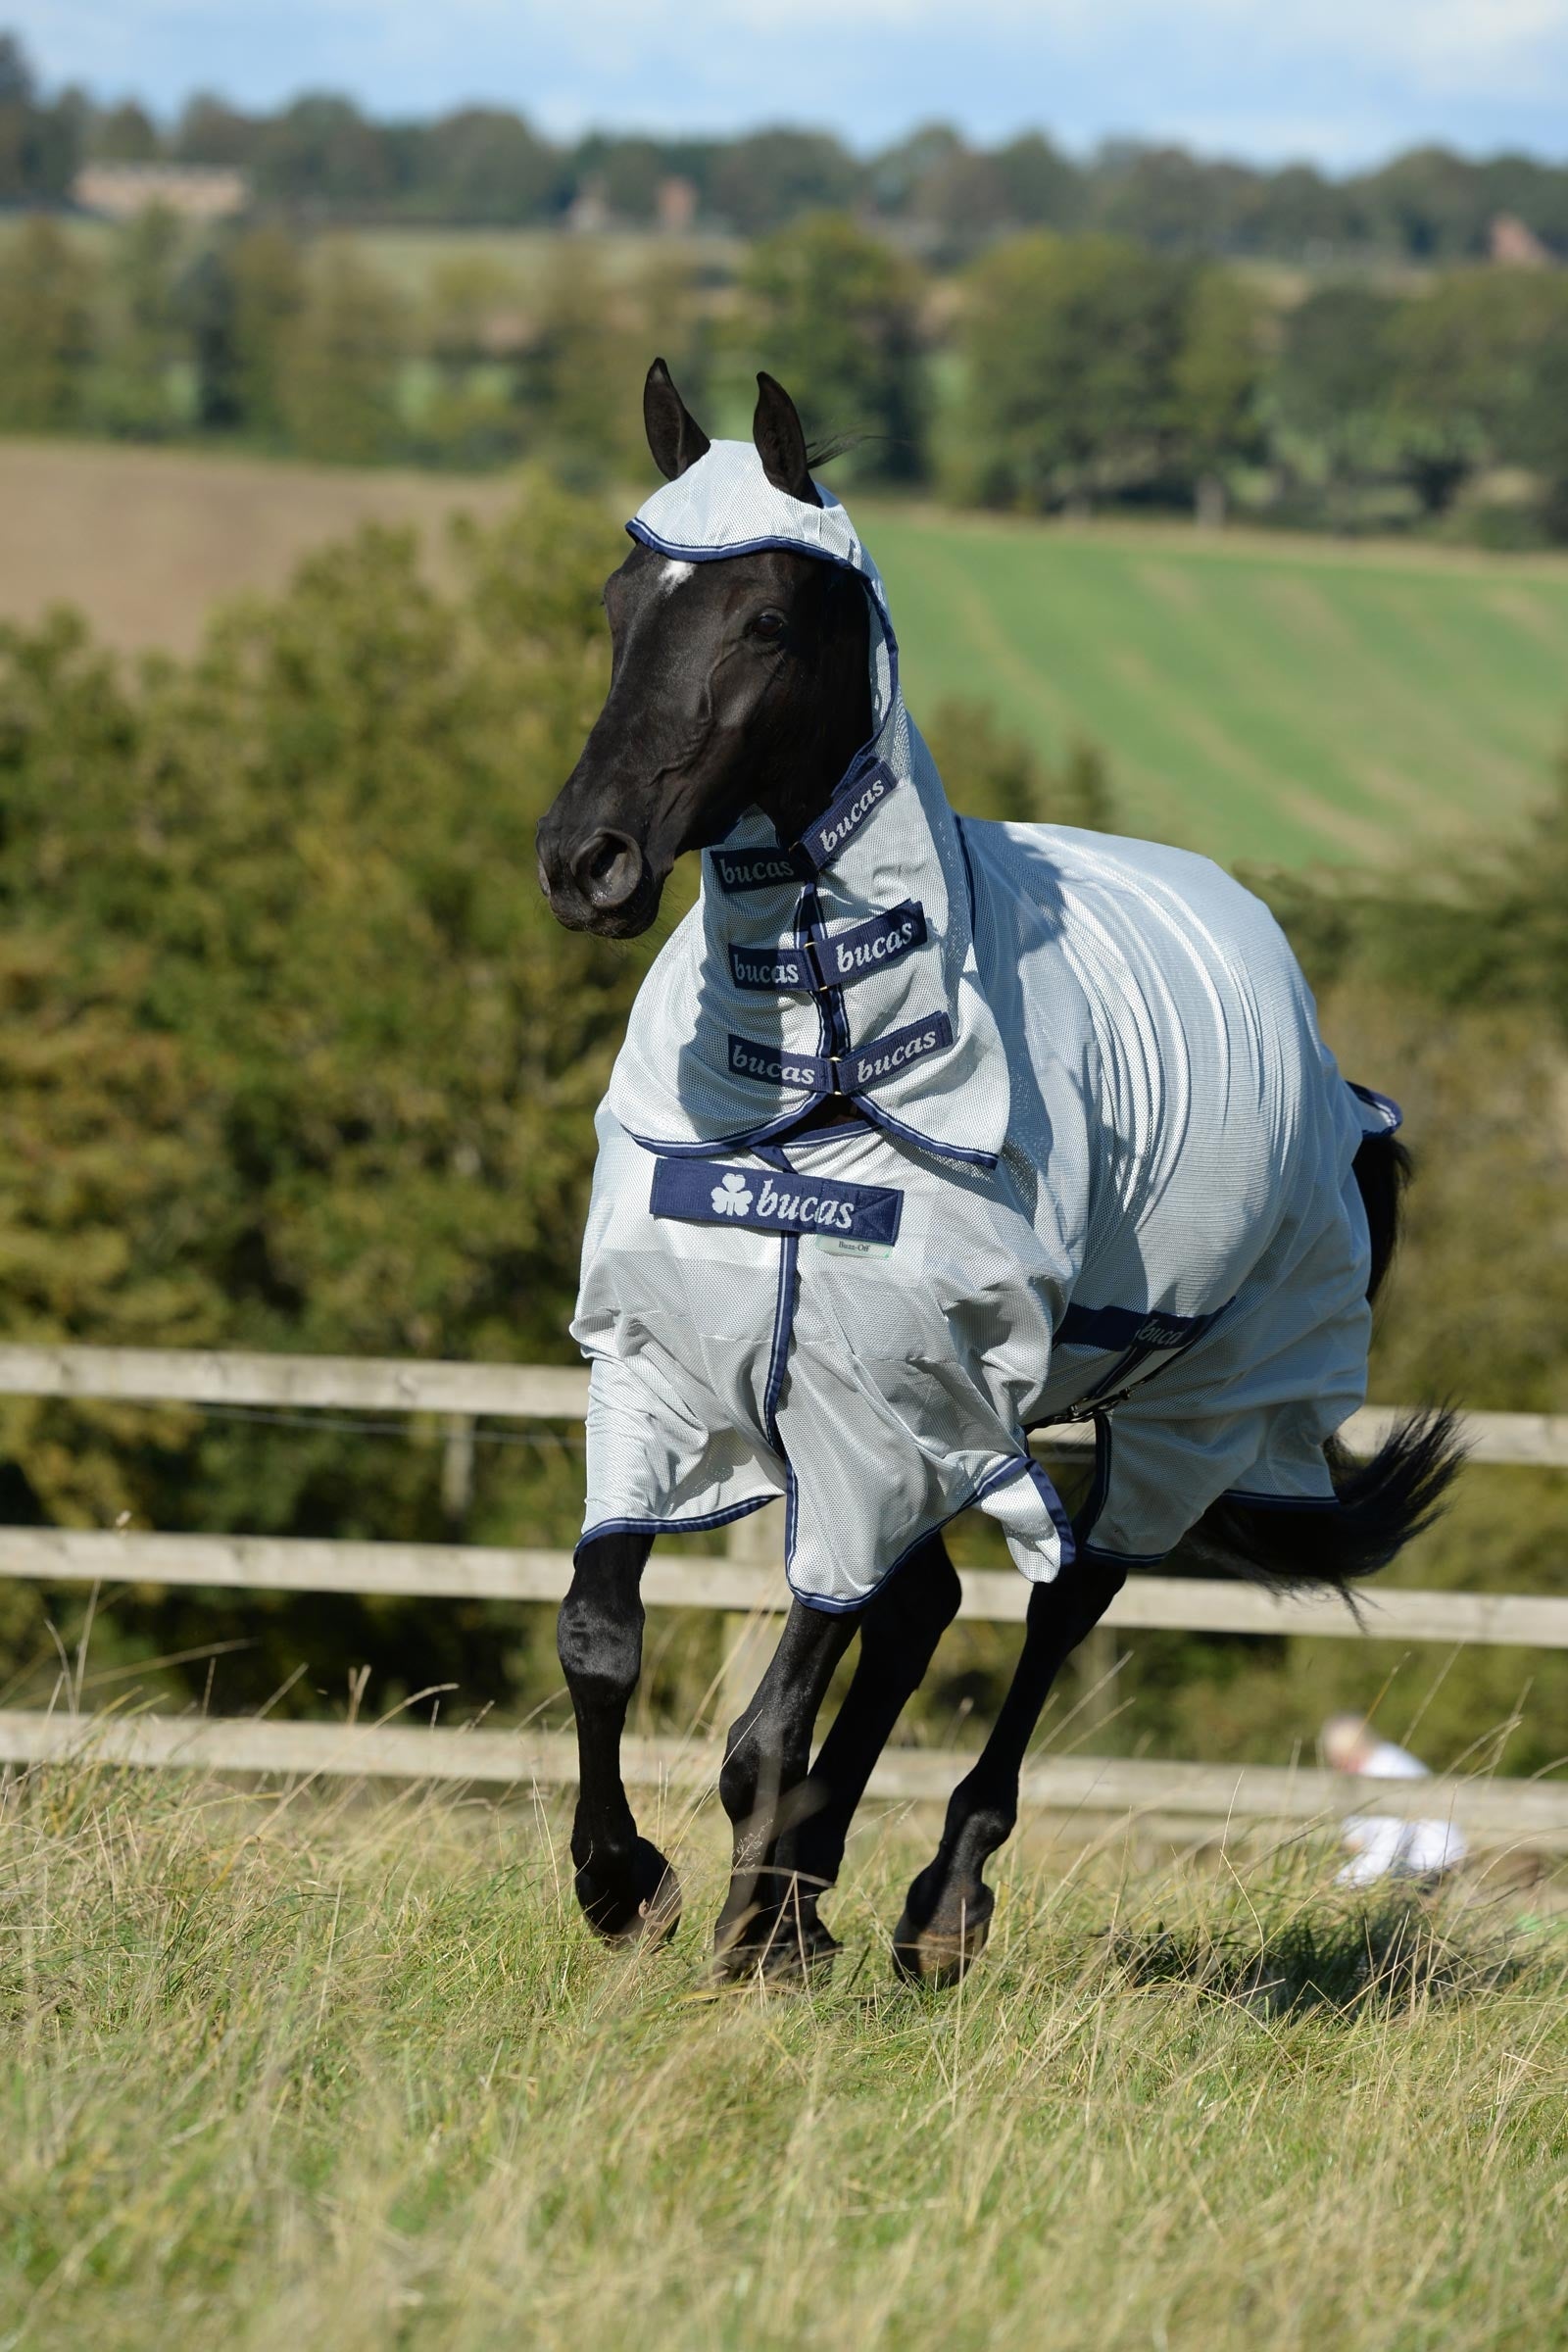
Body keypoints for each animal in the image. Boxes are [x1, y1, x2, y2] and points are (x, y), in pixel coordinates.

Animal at [534, 359, 1461, 1986]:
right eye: (619, 598)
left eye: (764, 621)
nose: (586, 861)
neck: (822, 1090)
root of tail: (1338, 1080)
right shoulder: (667, 1373)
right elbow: (604, 1638)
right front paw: (629, 1882)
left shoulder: (868, 1416)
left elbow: (768, 1720)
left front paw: (738, 1928)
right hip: (949, 1417)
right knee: (932, 1609)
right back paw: (813, 1895)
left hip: (1171, 1411)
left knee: (1063, 1601)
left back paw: (934, 1904)